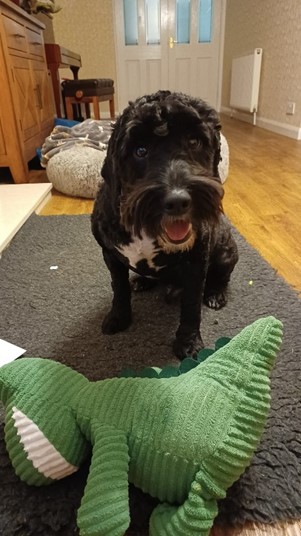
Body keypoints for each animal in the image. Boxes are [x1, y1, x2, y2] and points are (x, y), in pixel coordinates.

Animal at [91, 91, 237, 360]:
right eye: (140, 150)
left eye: (194, 142)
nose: (178, 201)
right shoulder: (111, 256)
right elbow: (119, 289)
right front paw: (118, 317)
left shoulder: (196, 263)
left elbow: (191, 306)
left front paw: (189, 343)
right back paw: (142, 281)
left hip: (226, 253)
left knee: (222, 277)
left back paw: (215, 294)